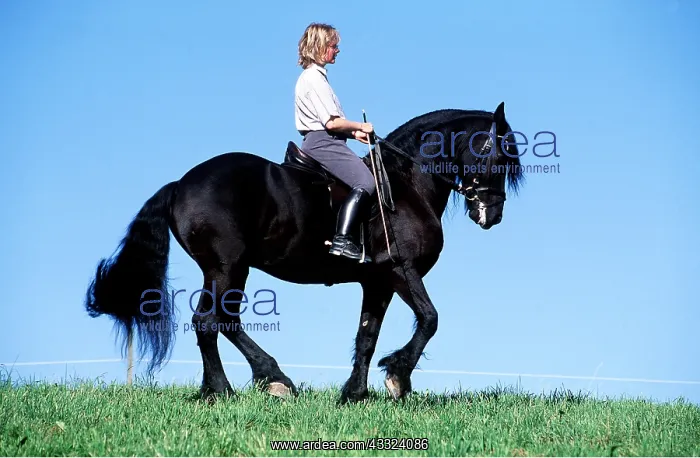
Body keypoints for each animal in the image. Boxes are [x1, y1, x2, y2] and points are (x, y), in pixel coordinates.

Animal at [84, 101, 525, 404]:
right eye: (499, 153)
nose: (492, 215)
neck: (405, 185)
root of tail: (180, 184)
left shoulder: (377, 282)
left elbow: (367, 336)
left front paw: (354, 394)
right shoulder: (401, 270)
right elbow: (430, 319)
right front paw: (398, 378)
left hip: (226, 270)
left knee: (221, 321)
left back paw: (252, 382)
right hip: (228, 267)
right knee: (211, 322)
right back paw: (234, 388)